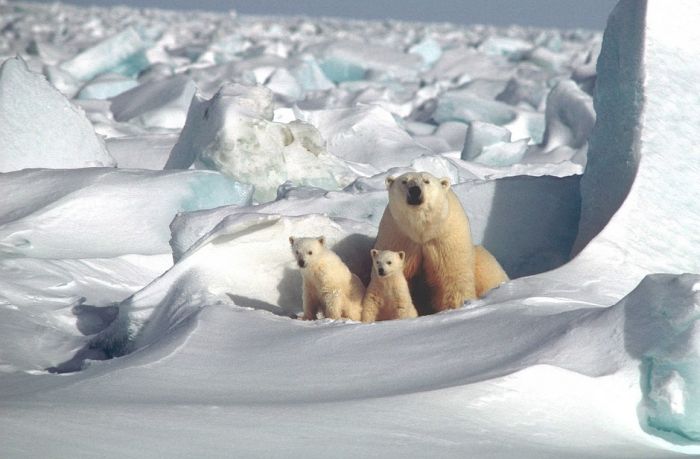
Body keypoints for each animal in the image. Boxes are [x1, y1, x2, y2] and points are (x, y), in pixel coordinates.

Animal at [372, 171, 508, 314]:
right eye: (404, 181)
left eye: (426, 181)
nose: (415, 190)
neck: (421, 231)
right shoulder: (399, 237)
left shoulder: (444, 239)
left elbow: (452, 277)